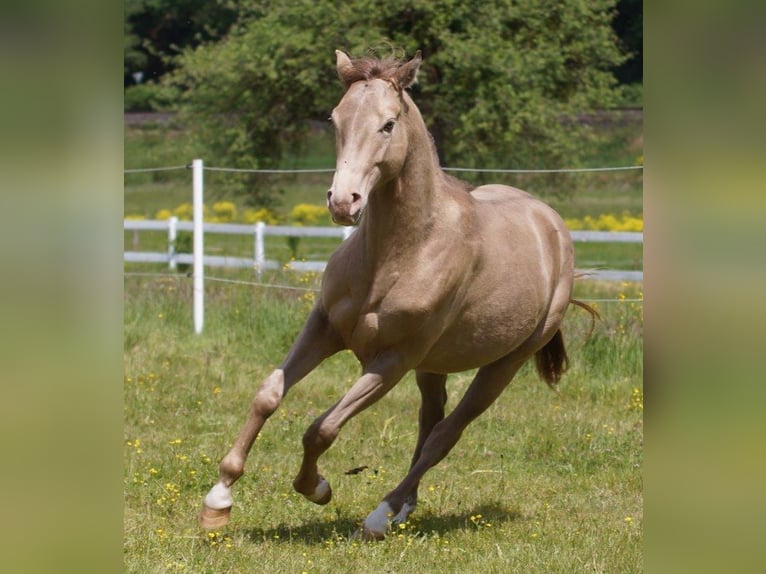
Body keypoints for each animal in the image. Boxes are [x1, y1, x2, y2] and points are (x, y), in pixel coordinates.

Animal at [200, 50, 593, 540]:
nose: (343, 202)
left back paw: (380, 516)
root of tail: (551, 224)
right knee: (431, 421)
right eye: (334, 119)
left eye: (388, 124)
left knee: (445, 435)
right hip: (434, 365)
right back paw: (403, 508)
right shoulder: (325, 327)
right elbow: (268, 394)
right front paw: (218, 499)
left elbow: (321, 429)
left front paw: (317, 488)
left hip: (505, 363)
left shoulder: (391, 360)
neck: (402, 251)